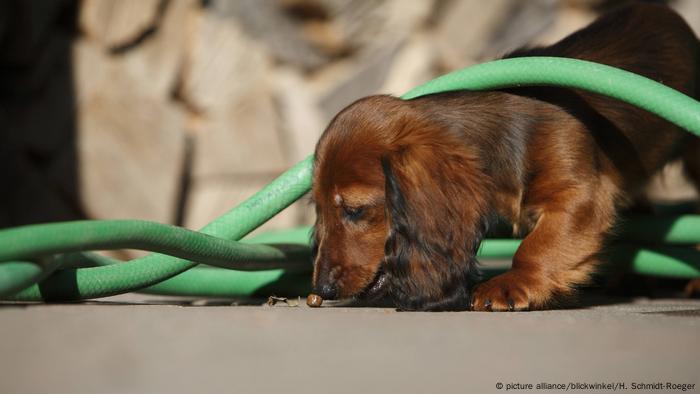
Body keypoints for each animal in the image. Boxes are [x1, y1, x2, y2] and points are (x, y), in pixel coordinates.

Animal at [308, 3, 700, 310]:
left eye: (355, 210)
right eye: (320, 208)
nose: (322, 288)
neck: (509, 137)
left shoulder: (580, 192)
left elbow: (538, 244)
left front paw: (512, 283)